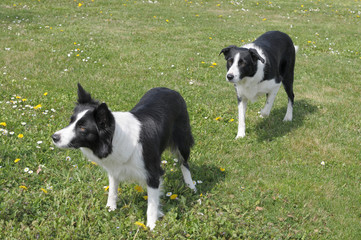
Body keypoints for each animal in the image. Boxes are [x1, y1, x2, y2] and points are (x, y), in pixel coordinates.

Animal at [51, 83, 194, 230]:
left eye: (82, 128)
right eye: (71, 121)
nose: (54, 137)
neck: (114, 138)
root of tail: (171, 90)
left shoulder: (153, 172)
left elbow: (152, 204)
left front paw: (151, 226)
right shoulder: (115, 168)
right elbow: (112, 190)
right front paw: (110, 209)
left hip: (182, 140)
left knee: (184, 163)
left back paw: (190, 185)